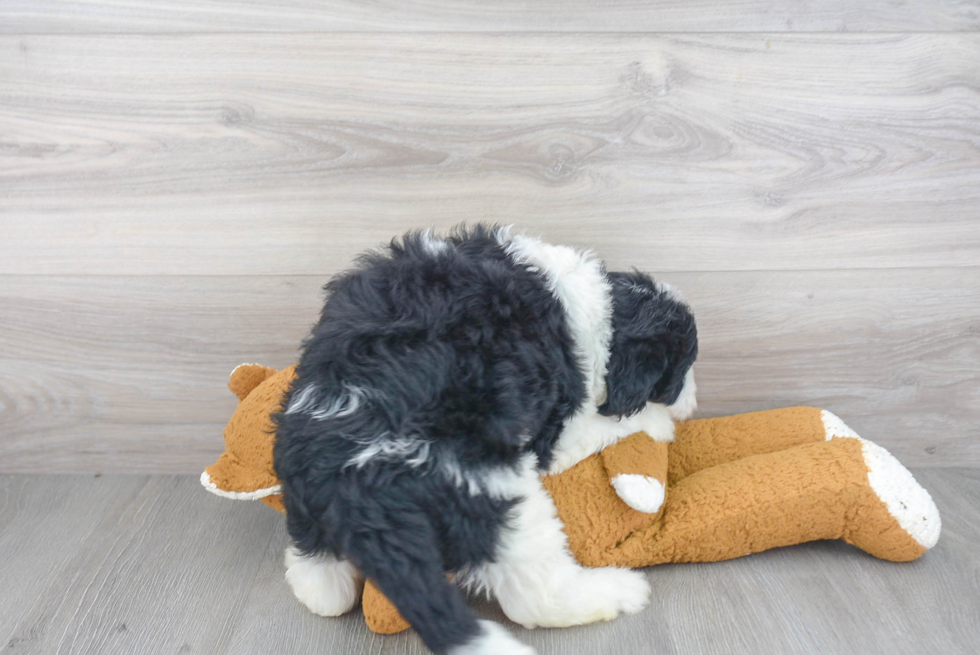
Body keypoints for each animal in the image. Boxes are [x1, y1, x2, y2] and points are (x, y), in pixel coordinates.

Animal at [274, 227, 696, 655]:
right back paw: (617, 591)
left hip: (304, 490)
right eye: (681, 371)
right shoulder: (556, 429)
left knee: (320, 575)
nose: (693, 401)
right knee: (535, 594)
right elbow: (607, 424)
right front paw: (660, 423)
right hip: (497, 502)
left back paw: (315, 584)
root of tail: (362, 492)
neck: (599, 307)